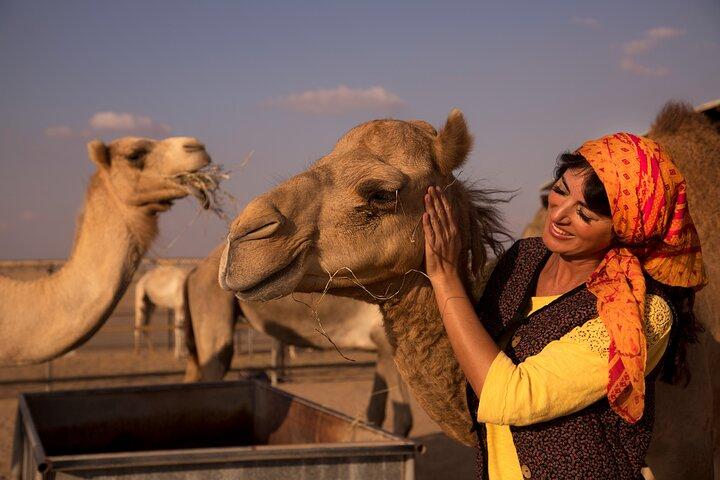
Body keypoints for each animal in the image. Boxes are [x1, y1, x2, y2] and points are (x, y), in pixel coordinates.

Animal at [183, 244, 413, 435]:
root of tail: (194, 271)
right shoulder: (385, 340)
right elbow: (403, 418)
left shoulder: (382, 346)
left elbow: (375, 413)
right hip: (213, 300)